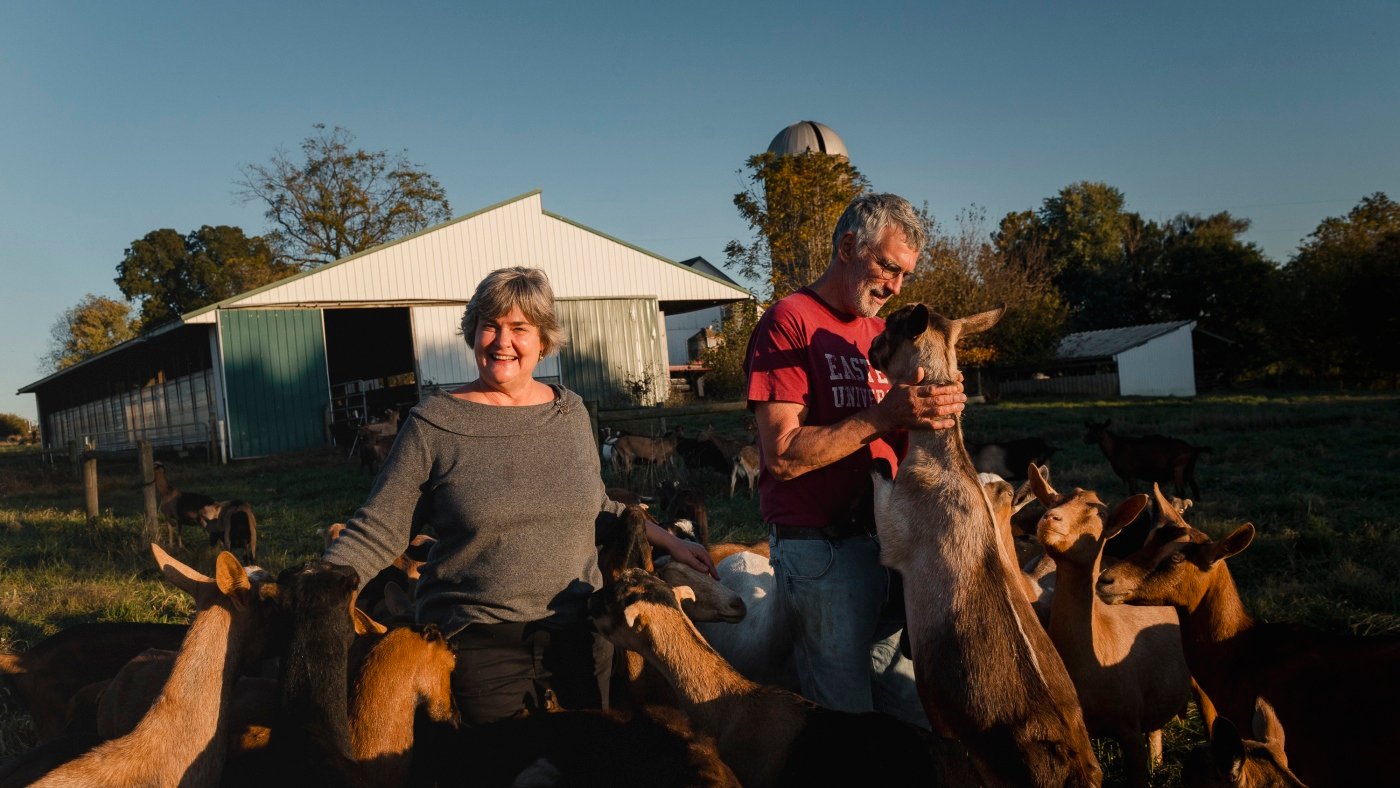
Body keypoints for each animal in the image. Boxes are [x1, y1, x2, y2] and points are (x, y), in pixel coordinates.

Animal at [862, 302, 1103, 788]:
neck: (946, 461)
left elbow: (880, 482)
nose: (869, 348)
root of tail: (1073, 763)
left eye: (890, 330)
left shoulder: (896, 533)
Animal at [1030, 464, 1192, 783]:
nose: (1050, 519)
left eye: (1101, 514)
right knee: (1155, 727)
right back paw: (1158, 762)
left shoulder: (1128, 725)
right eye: (1053, 501)